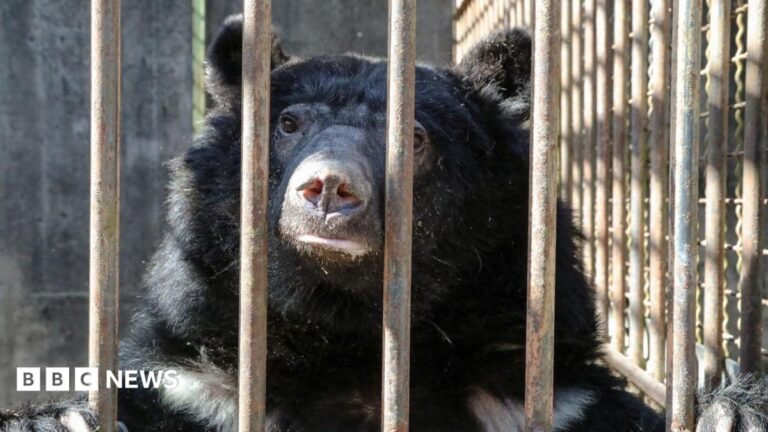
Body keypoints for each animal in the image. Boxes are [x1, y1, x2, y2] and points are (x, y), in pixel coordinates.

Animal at [1, 14, 767, 432]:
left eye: (416, 138)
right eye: (288, 123)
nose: (327, 188)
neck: (351, 332)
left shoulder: (546, 396)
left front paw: (733, 408)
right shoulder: (201, 386)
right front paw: (51, 416)